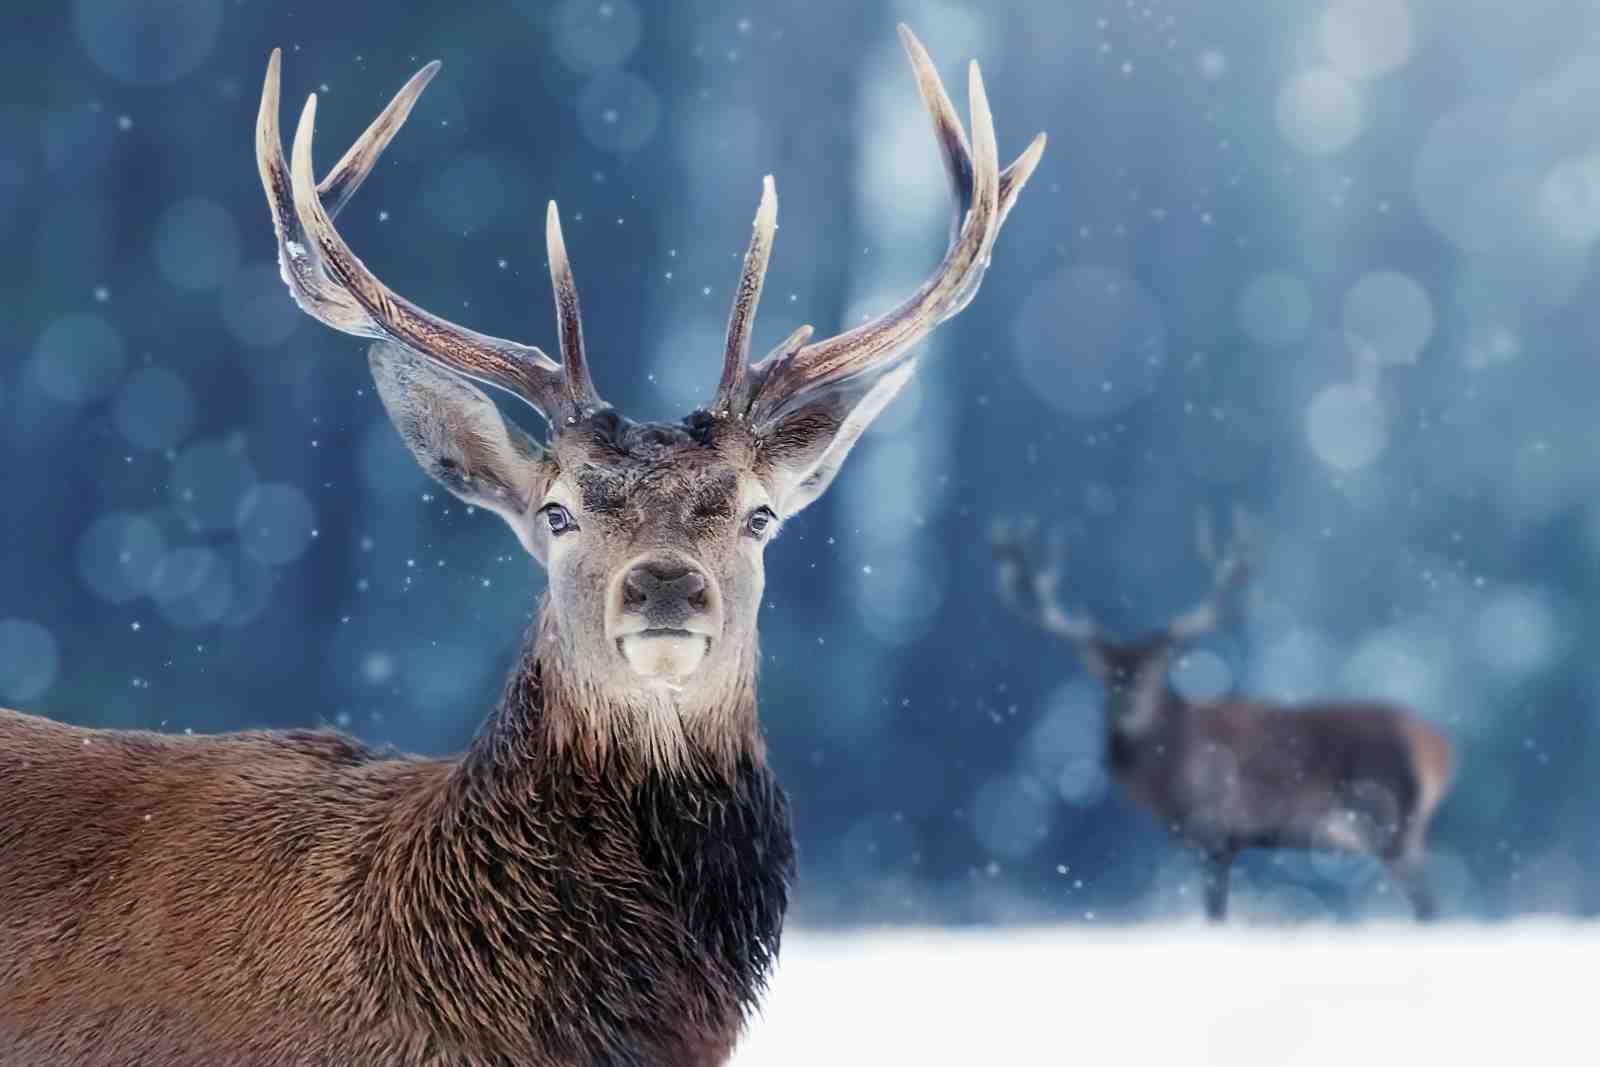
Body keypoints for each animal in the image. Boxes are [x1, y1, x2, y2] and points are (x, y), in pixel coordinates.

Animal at [991, 514, 1455, 923]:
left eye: (1158, 669)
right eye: (1108, 674)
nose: (1128, 706)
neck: (1166, 781)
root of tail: (1441, 751)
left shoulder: (1215, 831)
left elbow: (1216, 914)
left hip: (1392, 822)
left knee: (1431, 906)